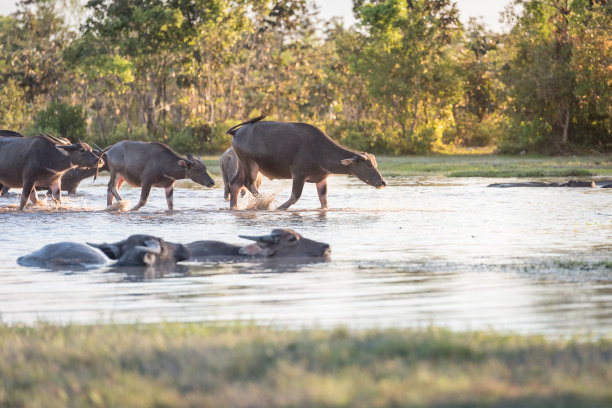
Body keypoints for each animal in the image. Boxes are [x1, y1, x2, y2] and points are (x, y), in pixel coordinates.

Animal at [227, 115, 384, 209]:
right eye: (369, 165)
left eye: (375, 165)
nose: (382, 182)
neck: (320, 152)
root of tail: (237, 132)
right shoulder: (298, 174)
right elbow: (295, 197)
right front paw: (279, 207)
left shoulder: (321, 179)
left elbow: (324, 201)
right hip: (250, 163)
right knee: (249, 183)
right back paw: (264, 202)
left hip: (243, 163)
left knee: (235, 184)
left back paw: (235, 207)